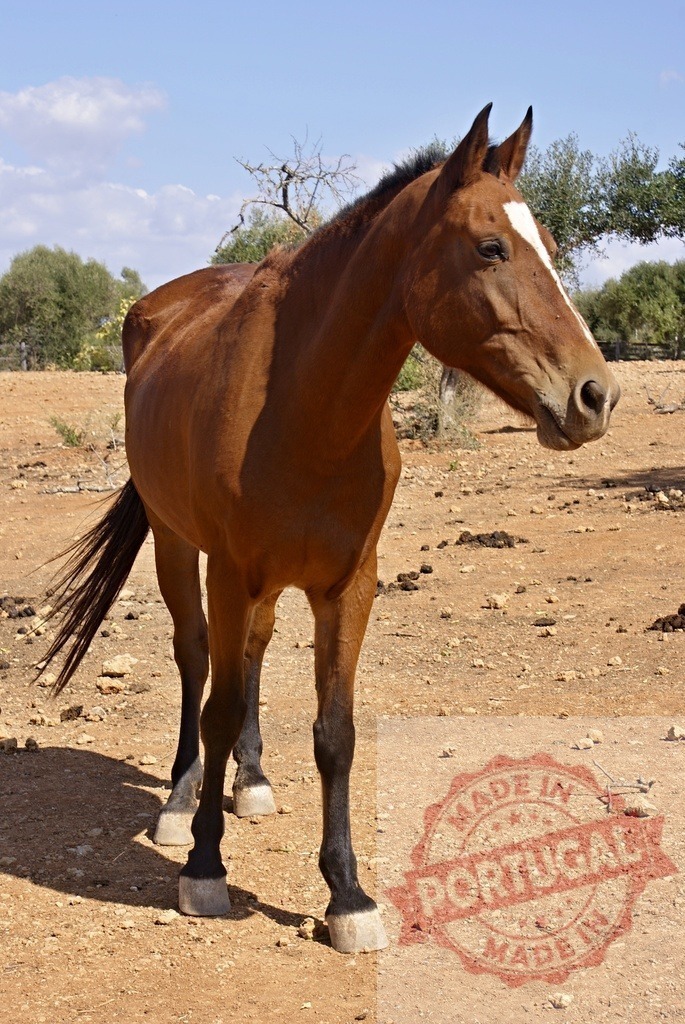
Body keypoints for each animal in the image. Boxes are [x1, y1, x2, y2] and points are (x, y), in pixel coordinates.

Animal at [41, 105, 620, 953]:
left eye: (545, 241)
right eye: (490, 248)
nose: (595, 395)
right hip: (179, 545)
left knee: (248, 656)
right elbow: (217, 706)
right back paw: (182, 802)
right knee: (195, 661)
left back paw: (250, 781)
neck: (302, 402)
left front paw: (347, 894)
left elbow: (334, 733)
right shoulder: (230, 569)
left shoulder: (349, 583)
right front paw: (205, 868)